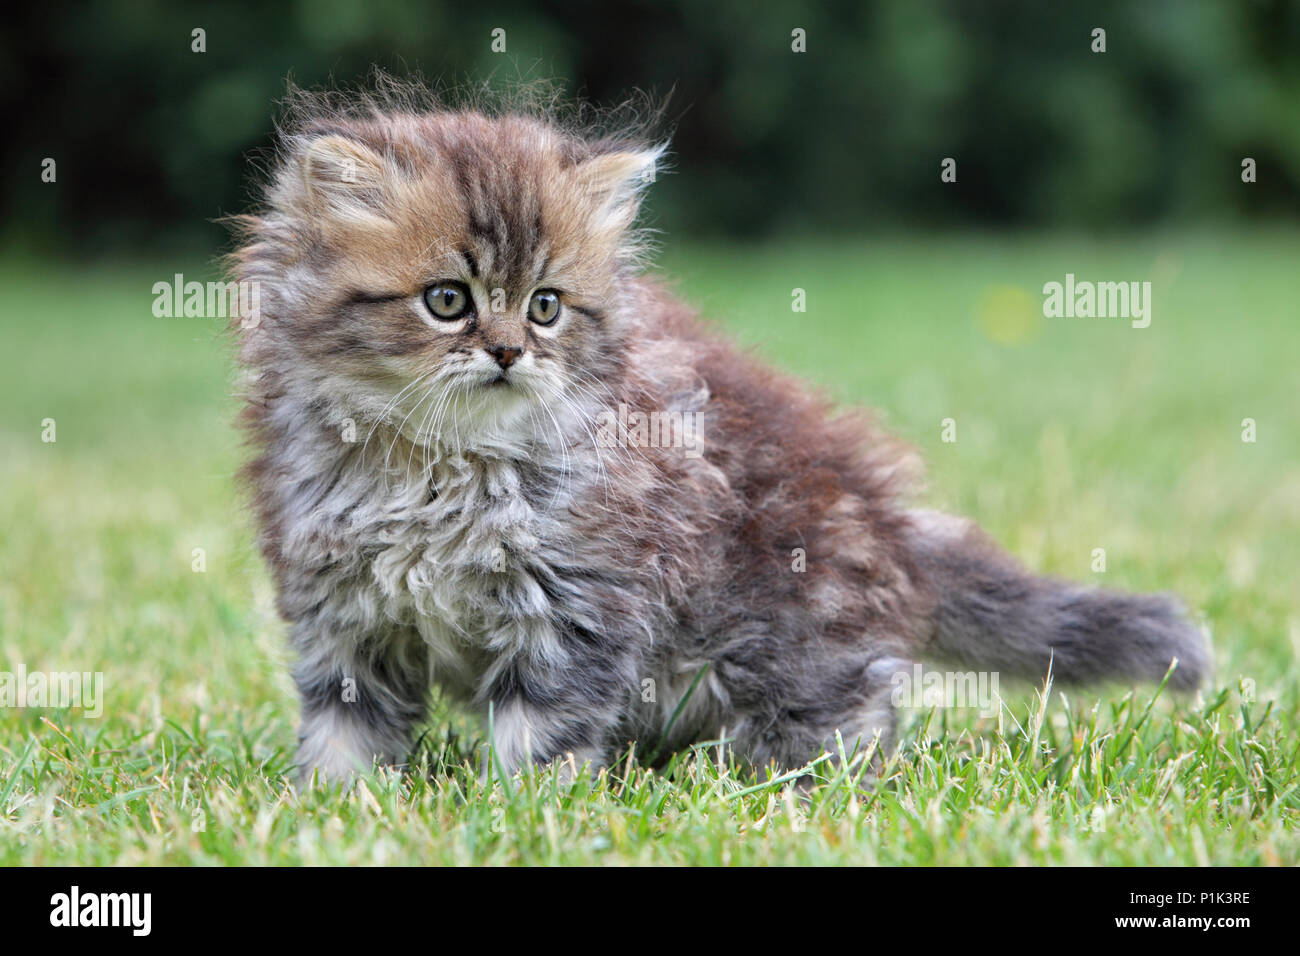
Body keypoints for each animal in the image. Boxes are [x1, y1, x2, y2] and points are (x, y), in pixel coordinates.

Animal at [226, 82, 1206, 785]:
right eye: (446, 301)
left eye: (545, 307)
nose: (507, 352)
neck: (433, 465)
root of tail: (892, 527)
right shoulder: (340, 611)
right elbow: (345, 729)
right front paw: (330, 806)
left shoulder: (578, 605)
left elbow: (540, 733)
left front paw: (528, 812)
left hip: (790, 648)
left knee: (841, 731)